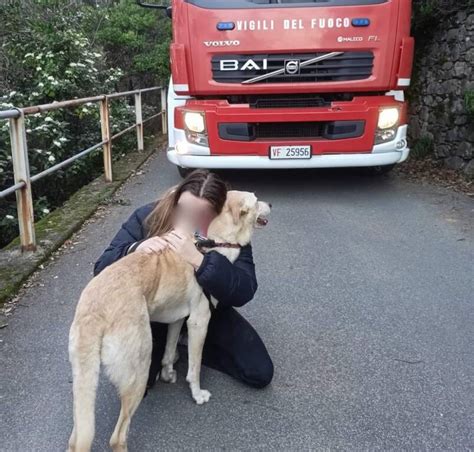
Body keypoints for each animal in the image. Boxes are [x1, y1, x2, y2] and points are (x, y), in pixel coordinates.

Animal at [66, 191, 270, 452]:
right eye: (255, 200)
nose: (271, 204)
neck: (213, 241)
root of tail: (94, 310)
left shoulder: (177, 318)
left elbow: (169, 351)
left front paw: (168, 371)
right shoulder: (199, 321)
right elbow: (194, 368)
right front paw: (197, 394)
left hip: (83, 379)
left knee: (76, 438)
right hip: (138, 372)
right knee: (118, 437)